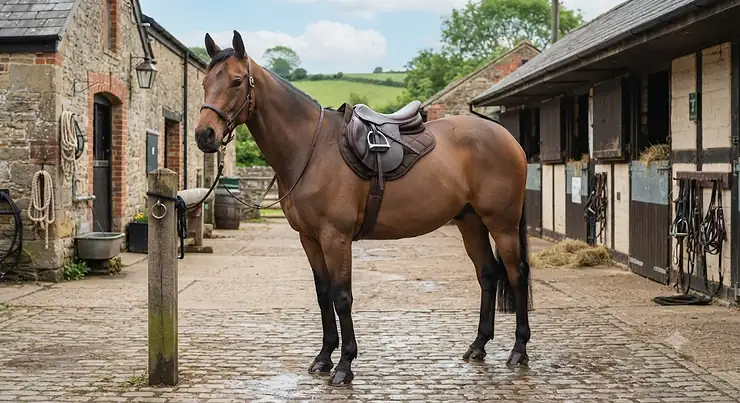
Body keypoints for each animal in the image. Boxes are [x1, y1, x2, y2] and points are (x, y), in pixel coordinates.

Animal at [194, 30, 533, 387]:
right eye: (205, 82)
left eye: (236, 81)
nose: (205, 135)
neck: (312, 148)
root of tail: (509, 139)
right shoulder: (310, 239)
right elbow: (323, 294)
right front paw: (324, 357)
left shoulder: (336, 237)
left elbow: (342, 296)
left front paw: (344, 365)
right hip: (470, 221)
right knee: (488, 274)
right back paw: (478, 346)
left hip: (502, 224)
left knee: (516, 274)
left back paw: (519, 351)